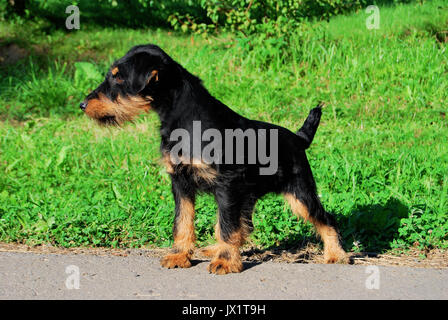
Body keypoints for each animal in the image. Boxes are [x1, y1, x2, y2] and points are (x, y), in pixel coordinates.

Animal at [79, 44, 346, 276]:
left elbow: (226, 227)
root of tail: (298, 138)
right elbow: (183, 222)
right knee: (244, 226)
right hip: (248, 197)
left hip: (300, 194)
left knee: (325, 219)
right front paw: (180, 256)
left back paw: (337, 255)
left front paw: (226, 262)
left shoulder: (226, 186)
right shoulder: (181, 183)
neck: (185, 121)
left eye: (118, 78)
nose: (82, 105)